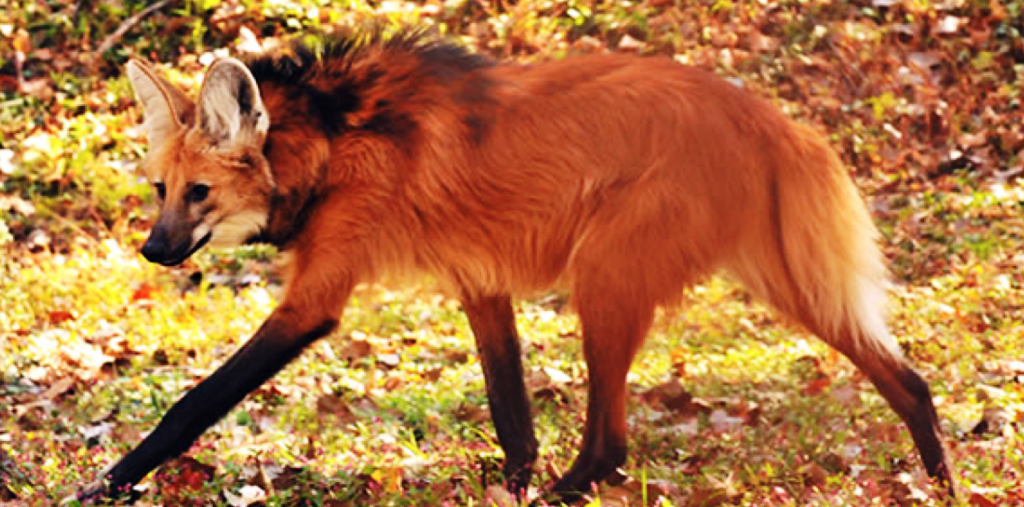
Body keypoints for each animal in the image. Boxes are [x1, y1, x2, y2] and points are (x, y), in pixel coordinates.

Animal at [75, 30, 954, 503]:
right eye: (158, 190)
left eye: (199, 192)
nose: (153, 249)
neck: (328, 140)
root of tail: (772, 120)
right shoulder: (481, 284)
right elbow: (511, 412)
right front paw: (515, 482)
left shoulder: (317, 298)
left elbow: (191, 403)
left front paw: (108, 481)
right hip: (779, 276)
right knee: (908, 378)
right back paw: (941, 483)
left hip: (607, 273)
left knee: (612, 446)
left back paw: (573, 488)